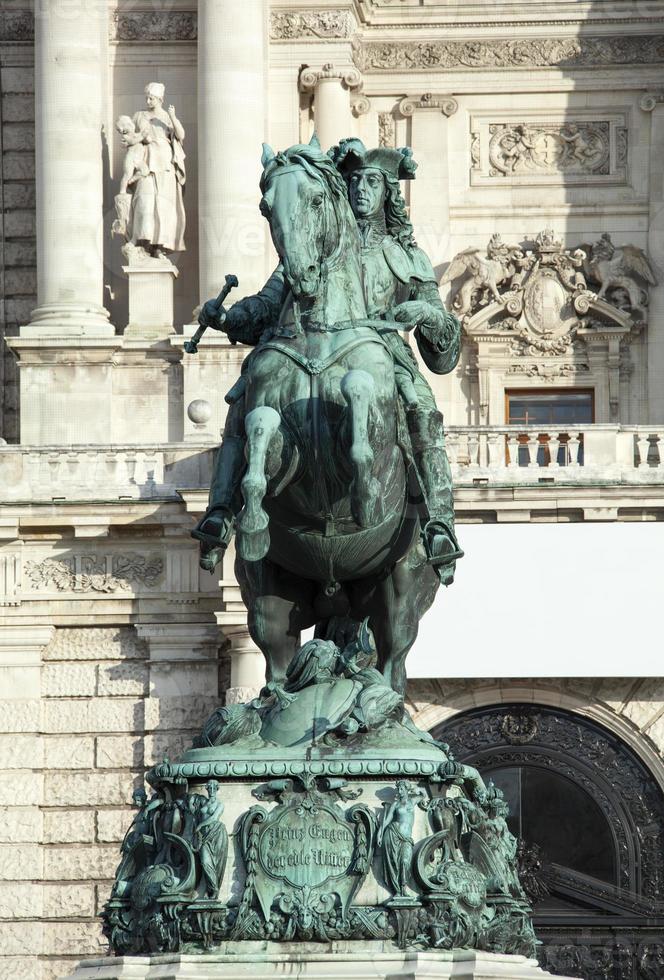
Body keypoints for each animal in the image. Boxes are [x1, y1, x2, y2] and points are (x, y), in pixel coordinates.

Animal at [233, 140, 440, 696]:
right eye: (265, 207)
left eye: (316, 200)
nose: (302, 278)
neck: (320, 333)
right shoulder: (276, 436)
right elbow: (260, 424)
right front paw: (252, 513)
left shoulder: (382, 434)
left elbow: (360, 397)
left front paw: (365, 494)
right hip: (269, 600)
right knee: (278, 669)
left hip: (400, 594)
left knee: (392, 667)